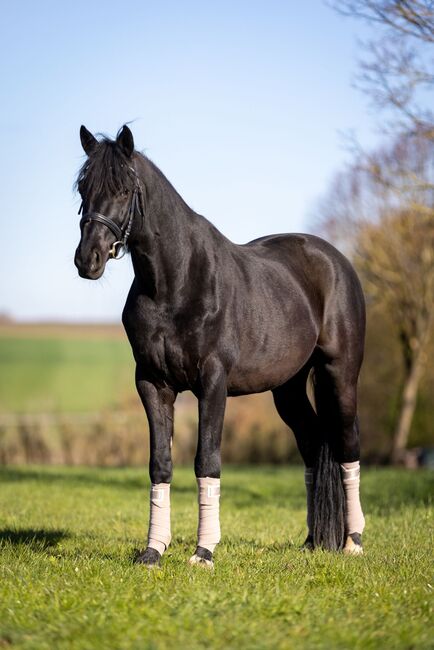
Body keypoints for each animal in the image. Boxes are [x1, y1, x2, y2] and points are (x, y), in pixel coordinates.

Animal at [74, 124, 366, 564]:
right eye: (82, 187)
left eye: (124, 189)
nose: (87, 260)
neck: (175, 282)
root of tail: (336, 261)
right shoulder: (152, 384)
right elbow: (160, 463)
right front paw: (153, 551)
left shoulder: (212, 382)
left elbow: (206, 460)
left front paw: (204, 551)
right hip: (288, 389)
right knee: (314, 445)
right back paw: (313, 541)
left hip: (340, 375)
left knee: (348, 446)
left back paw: (353, 542)